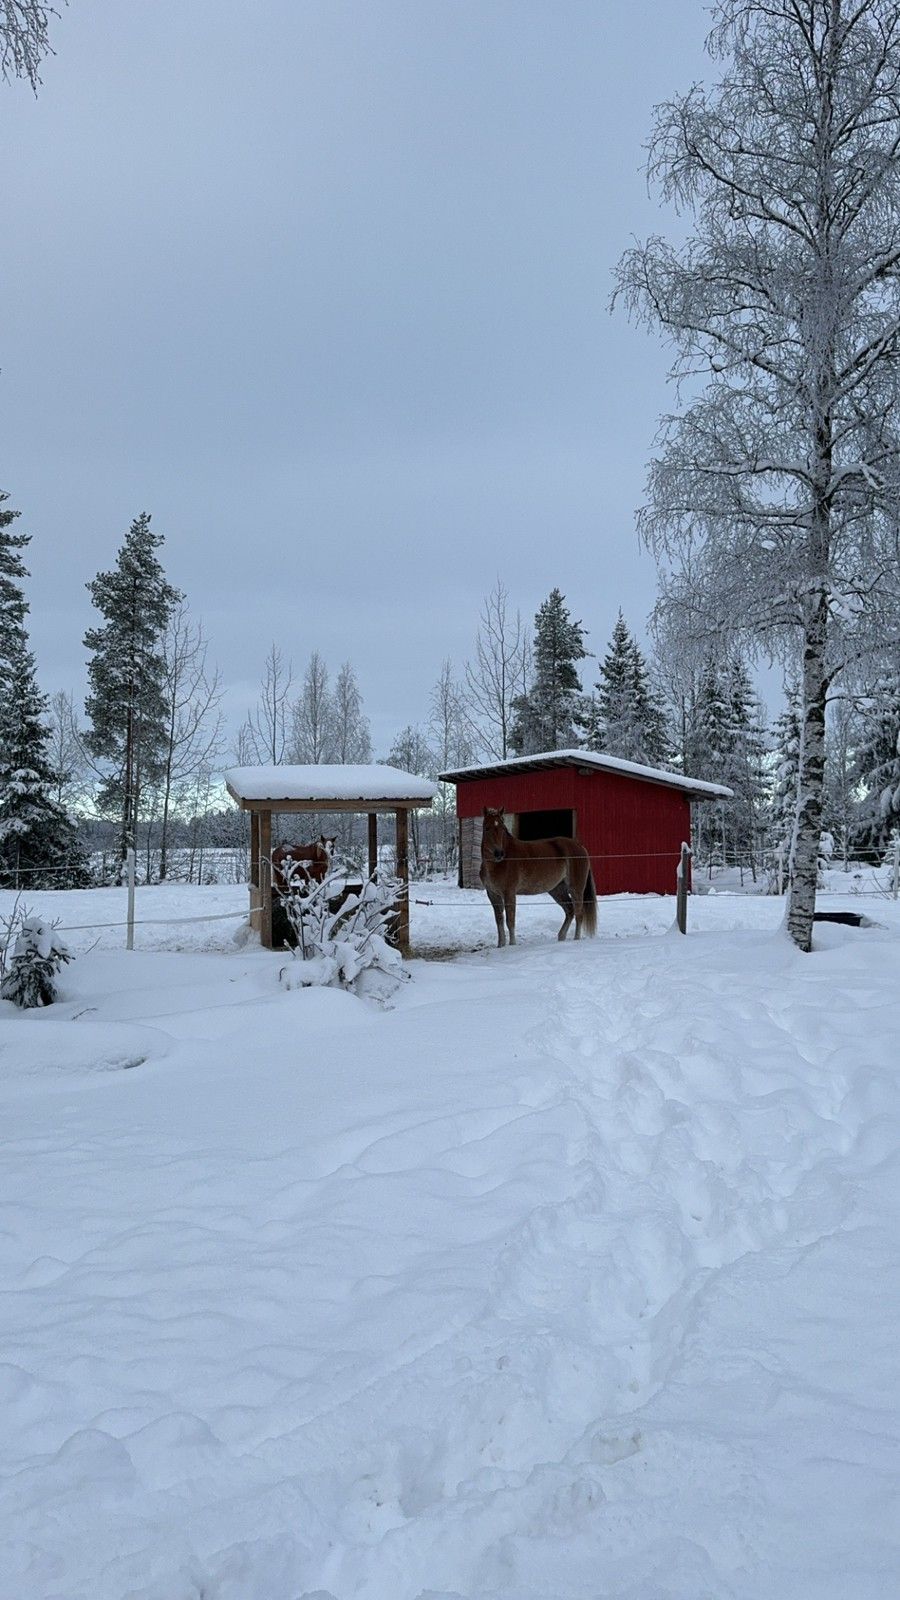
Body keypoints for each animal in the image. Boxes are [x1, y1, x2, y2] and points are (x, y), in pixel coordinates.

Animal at [477, 806, 595, 940]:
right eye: (487, 828)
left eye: (502, 828)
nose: (499, 853)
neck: (498, 863)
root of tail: (580, 846)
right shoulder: (492, 894)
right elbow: (499, 921)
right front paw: (501, 944)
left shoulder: (509, 893)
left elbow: (510, 922)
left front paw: (512, 944)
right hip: (557, 889)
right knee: (570, 910)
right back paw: (561, 937)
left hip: (576, 888)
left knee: (579, 913)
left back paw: (576, 939)